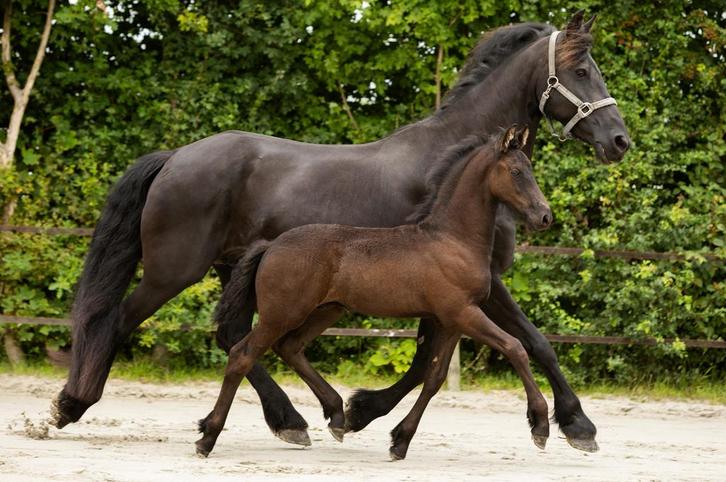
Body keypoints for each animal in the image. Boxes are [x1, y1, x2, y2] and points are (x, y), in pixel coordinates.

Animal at [196, 126, 552, 459]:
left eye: (530, 168)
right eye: (517, 171)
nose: (544, 215)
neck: (452, 239)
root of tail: (270, 245)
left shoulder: (451, 322)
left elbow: (435, 378)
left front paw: (400, 441)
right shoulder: (464, 314)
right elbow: (515, 347)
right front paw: (540, 426)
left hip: (327, 309)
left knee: (290, 347)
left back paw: (337, 416)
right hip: (281, 313)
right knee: (242, 355)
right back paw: (208, 438)